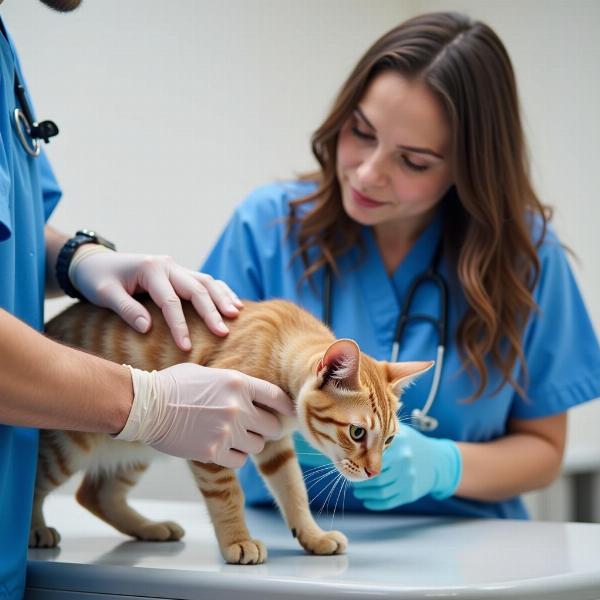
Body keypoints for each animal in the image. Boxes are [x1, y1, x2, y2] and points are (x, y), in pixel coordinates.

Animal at [30, 298, 432, 564]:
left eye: (390, 439)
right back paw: (34, 529)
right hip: (67, 445)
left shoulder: (275, 445)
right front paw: (238, 541)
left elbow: (293, 492)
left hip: (140, 447)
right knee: (34, 481)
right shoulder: (212, 437)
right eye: (357, 433)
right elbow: (228, 496)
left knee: (96, 493)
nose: (374, 472)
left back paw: (151, 527)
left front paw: (312, 536)